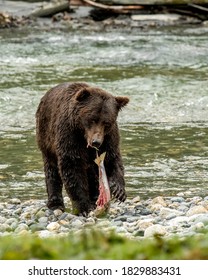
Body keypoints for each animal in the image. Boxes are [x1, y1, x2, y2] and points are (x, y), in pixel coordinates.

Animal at [36, 82, 128, 215]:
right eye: (92, 119)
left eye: (106, 123)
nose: (96, 142)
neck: (83, 134)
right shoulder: (69, 134)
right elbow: (72, 166)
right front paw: (83, 208)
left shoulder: (109, 137)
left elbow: (112, 159)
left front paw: (118, 190)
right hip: (46, 135)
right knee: (51, 169)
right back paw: (55, 204)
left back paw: (94, 198)